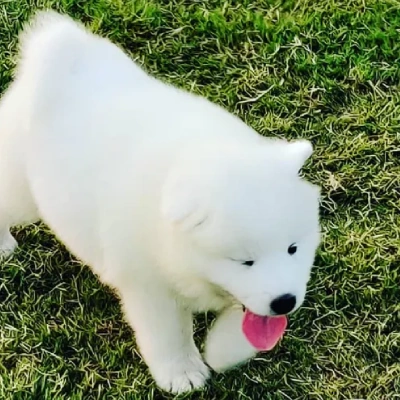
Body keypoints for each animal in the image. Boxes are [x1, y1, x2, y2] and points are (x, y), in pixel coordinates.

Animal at [0, 11, 320, 394]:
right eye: (245, 261)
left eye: (293, 249)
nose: (285, 301)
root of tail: (65, 54)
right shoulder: (148, 285)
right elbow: (168, 334)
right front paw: (182, 373)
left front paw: (222, 350)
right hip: (22, 188)